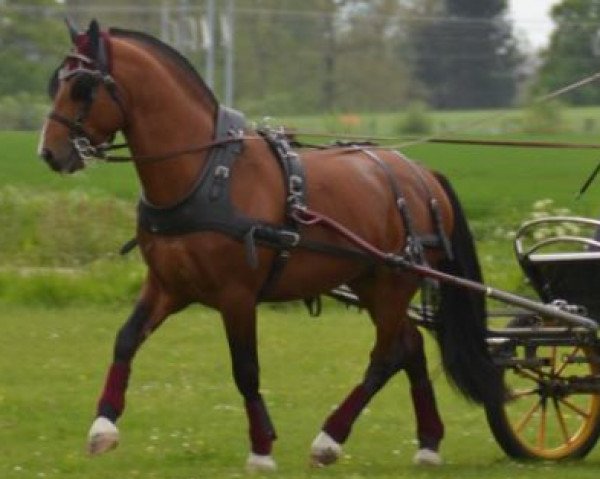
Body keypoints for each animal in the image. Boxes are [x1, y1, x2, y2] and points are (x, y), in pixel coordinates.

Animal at [39, 20, 504, 474]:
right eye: (56, 81)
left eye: (82, 87)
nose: (49, 153)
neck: (205, 173)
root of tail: (422, 174)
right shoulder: (168, 286)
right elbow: (126, 339)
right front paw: (103, 425)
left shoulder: (237, 296)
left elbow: (245, 369)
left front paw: (261, 447)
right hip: (371, 281)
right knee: (411, 346)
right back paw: (428, 441)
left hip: (394, 281)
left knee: (387, 355)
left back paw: (330, 438)